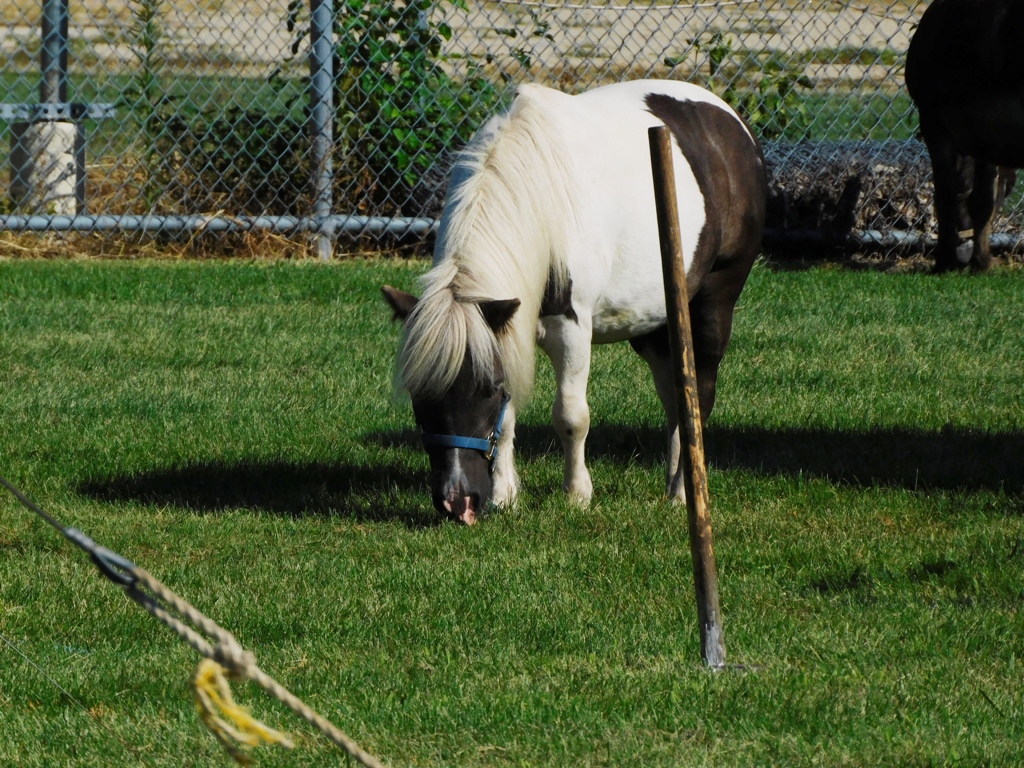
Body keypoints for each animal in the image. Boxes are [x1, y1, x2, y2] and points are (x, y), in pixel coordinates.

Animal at [383, 80, 766, 524]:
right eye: (418, 395)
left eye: (487, 390)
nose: (456, 502)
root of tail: (731, 121)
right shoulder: (511, 330)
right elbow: (507, 422)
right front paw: (504, 496)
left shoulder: (571, 329)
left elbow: (571, 416)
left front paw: (577, 494)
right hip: (657, 325)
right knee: (677, 403)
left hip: (715, 300)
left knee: (699, 396)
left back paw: (685, 493)